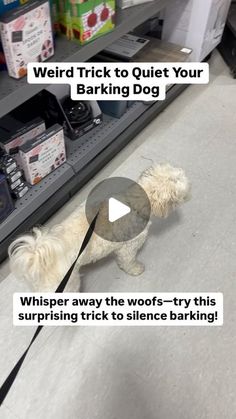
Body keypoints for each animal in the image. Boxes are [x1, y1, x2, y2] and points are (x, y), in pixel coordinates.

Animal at [8, 164, 191, 292]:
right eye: (177, 180)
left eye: (174, 171)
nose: (184, 173)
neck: (133, 202)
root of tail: (36, 255)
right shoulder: (127, 248)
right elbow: (128, 262)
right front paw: (136, 269)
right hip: (67, 284)